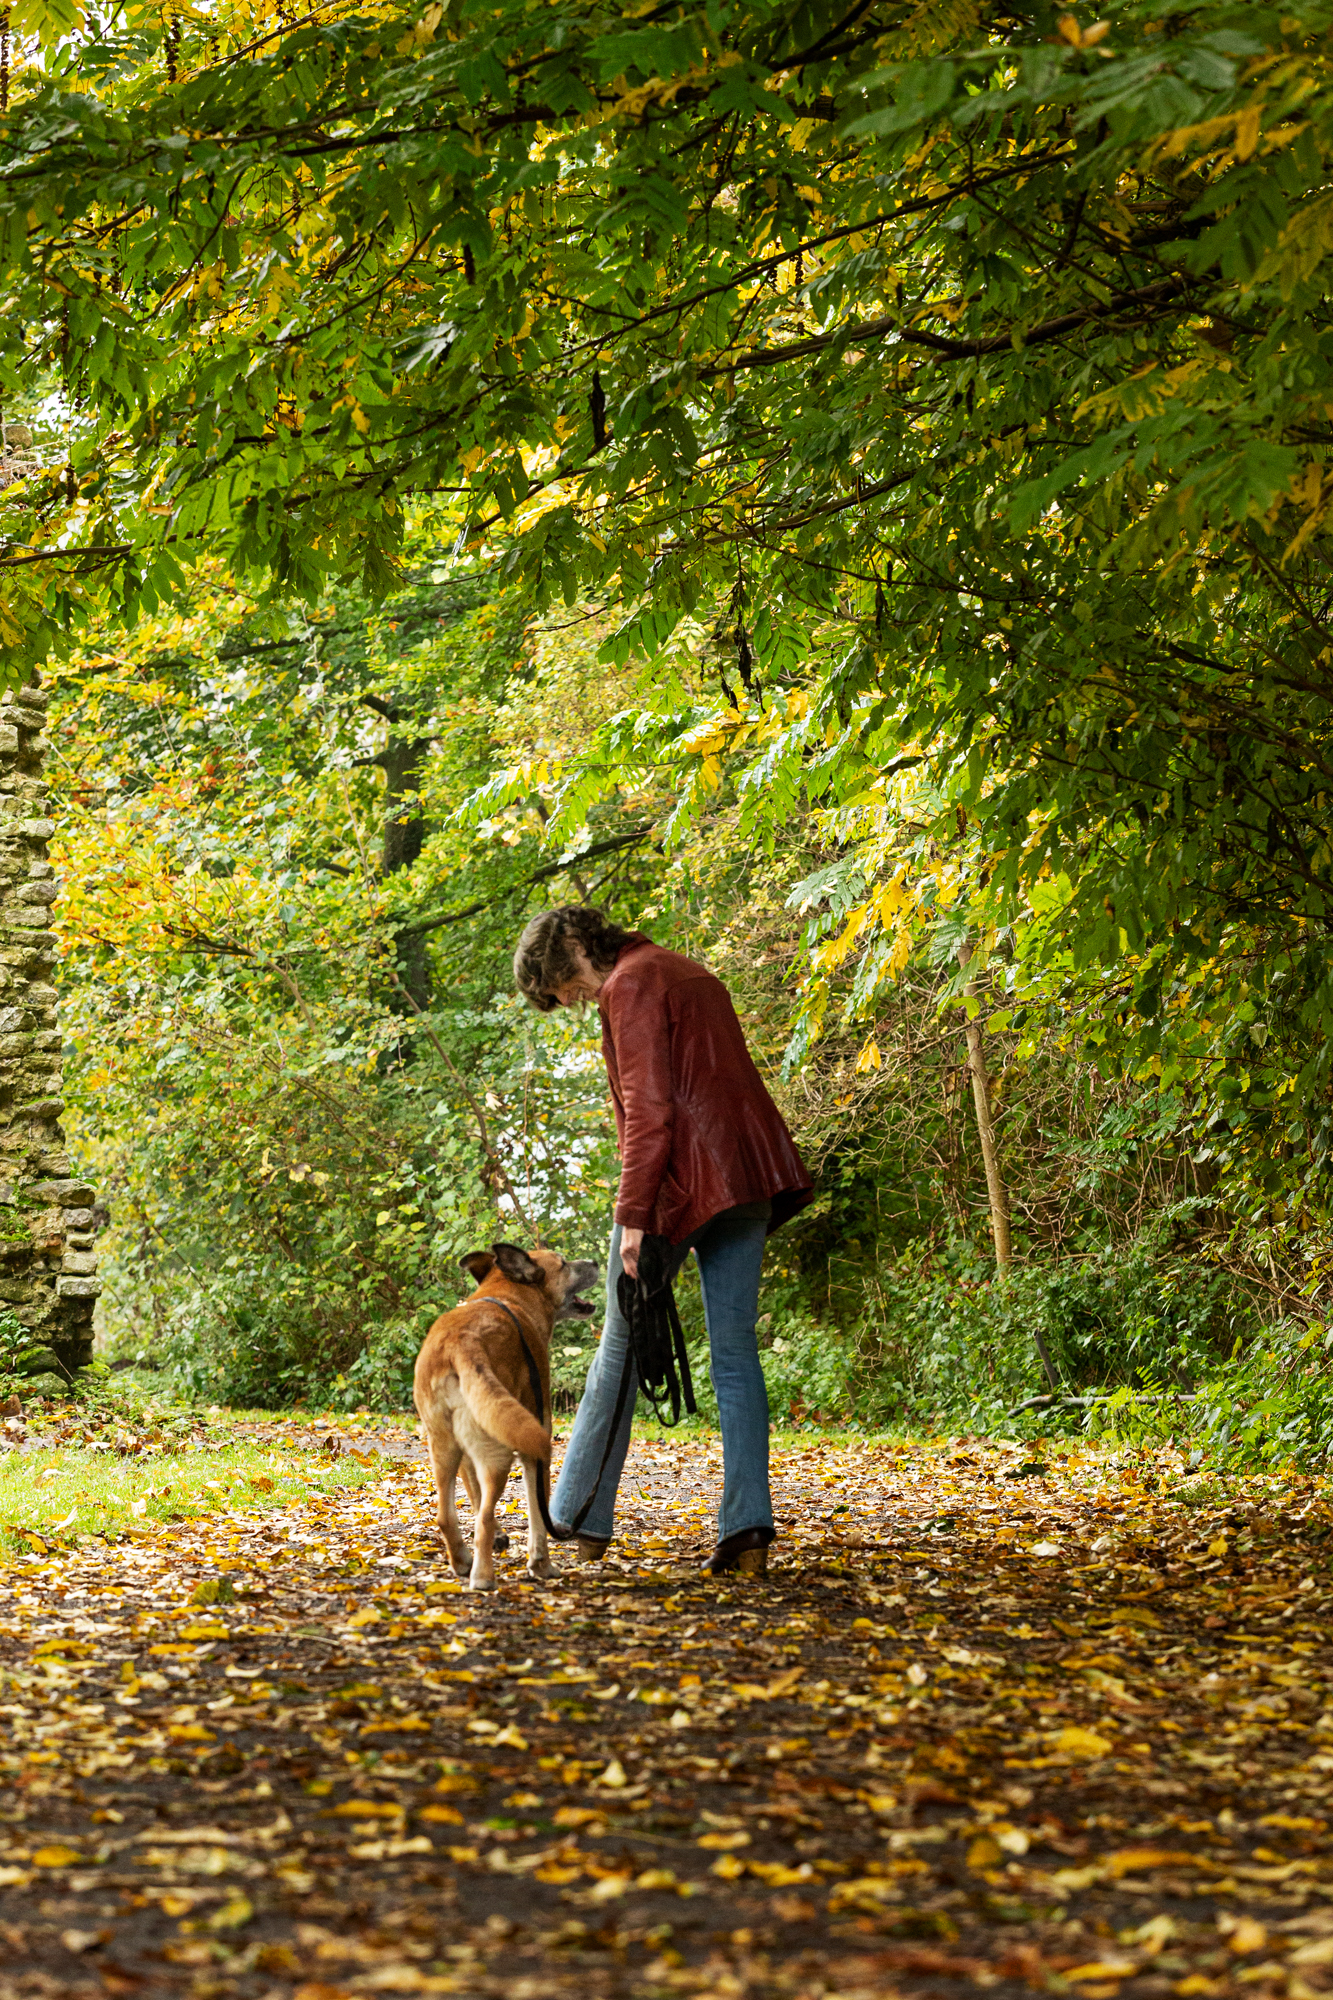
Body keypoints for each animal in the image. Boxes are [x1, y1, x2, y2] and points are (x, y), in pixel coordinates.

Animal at [416, 1240, 596, 1584]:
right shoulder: (534, 1441)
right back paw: (483, 1577)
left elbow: (473, 1493)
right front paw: (541, 1563)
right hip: (499, 1451)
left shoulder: (466, 1453)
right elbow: (537, 1511)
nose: (594, 1261)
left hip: (445, 1446)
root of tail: (461, 1343)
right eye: (563, 1263)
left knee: (445, 1515)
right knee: (483, 1519)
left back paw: (462, 1562)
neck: (509, 1296)